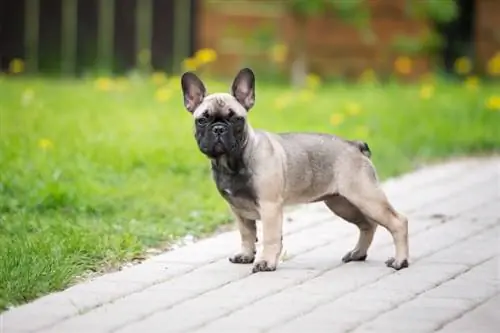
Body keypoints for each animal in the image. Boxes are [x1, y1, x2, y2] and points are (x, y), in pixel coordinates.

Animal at [182, 67, 408, 272]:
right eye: (202, 120)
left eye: (236, 119)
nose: (218, 128)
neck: (233, 160)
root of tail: (354, 145)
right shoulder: (238, 210)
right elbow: (247, 234)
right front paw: (246, 255)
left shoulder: (270, 207)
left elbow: (270, 237)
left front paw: (265, 262)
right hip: (342, 203)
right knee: (368, 225)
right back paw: (358, 253)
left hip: (365, 196)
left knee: (397, 222)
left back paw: (400, 261)